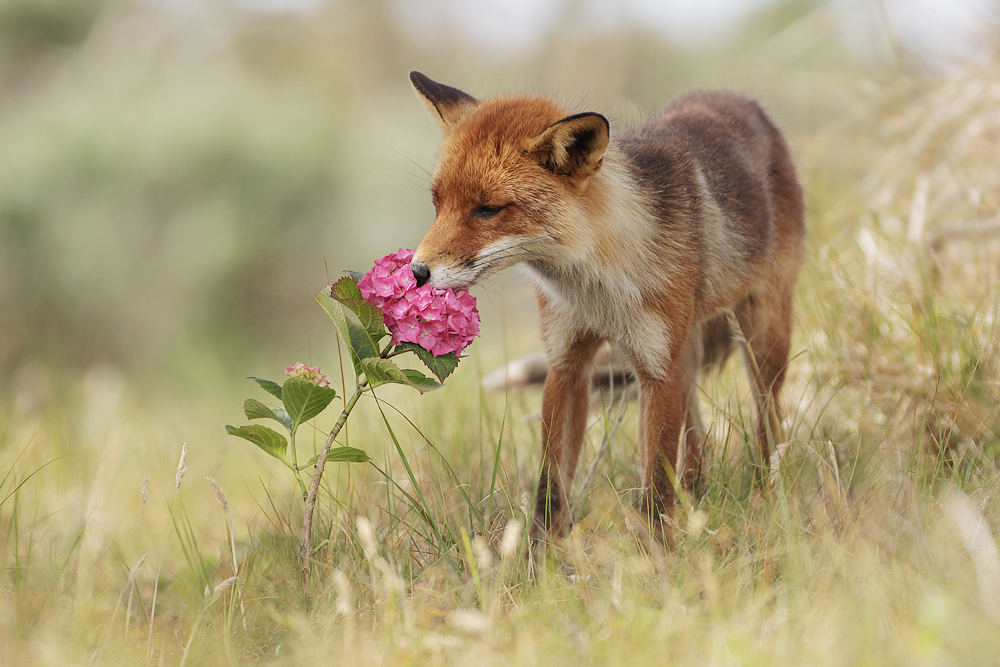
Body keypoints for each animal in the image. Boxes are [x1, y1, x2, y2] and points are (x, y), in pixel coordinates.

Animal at [406, 70, 804, 544]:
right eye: (437, 203)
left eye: (487, 209)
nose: (417, 272)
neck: (599, 289)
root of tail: (743, 101)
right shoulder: (567, 362)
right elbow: (550, 489)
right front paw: (539, 559)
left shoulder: (655, 370)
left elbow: (655, 492)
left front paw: (658, 558)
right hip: (686, 358)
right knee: (697, 441)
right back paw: (698, 504)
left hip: (760, 344)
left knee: (767, 428)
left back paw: (767, 500)